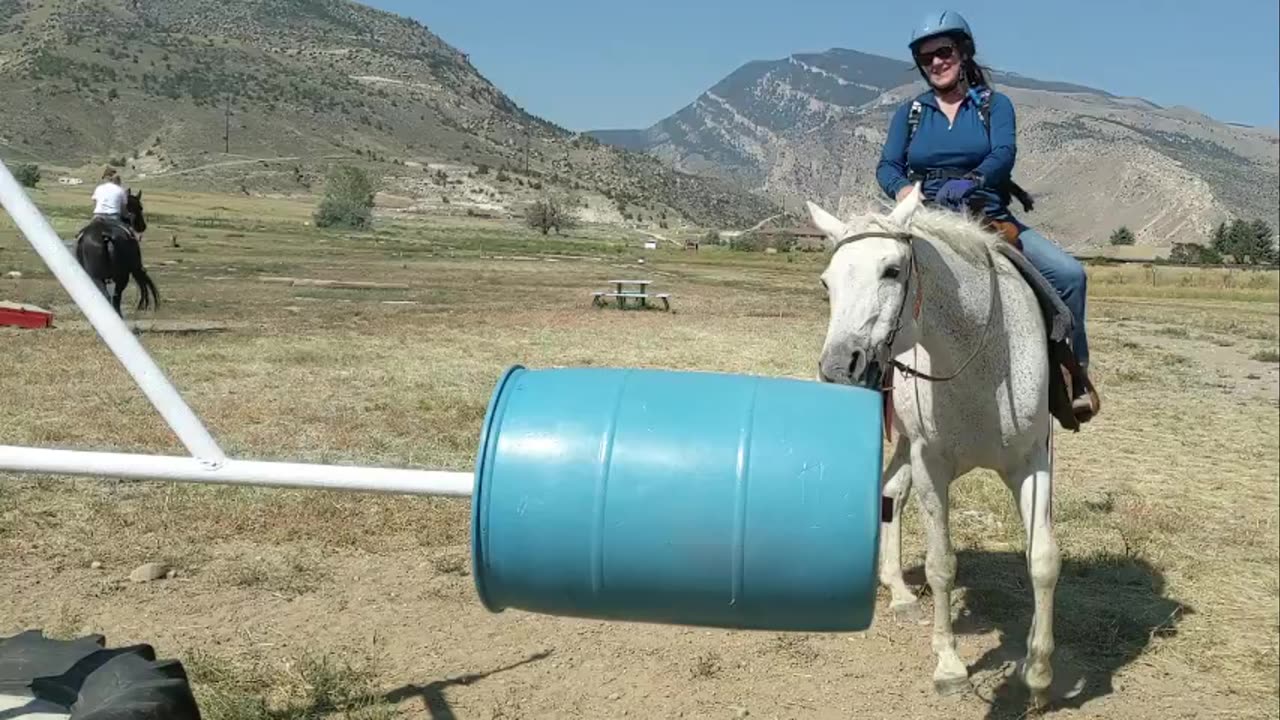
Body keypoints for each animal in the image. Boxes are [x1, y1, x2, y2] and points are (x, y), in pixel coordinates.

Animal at [808, 184, 1059, 707]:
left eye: (891, 270)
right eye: (826, 283)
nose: (840, 368)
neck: (981, 361)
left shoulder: (1032, 461)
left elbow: (1044, 559)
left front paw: (1039, 674)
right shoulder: (931, 463)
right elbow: (941, 564)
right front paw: (949, 664)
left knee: (890, 490)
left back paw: (900, 590)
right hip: (908, 442)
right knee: (889, 492)